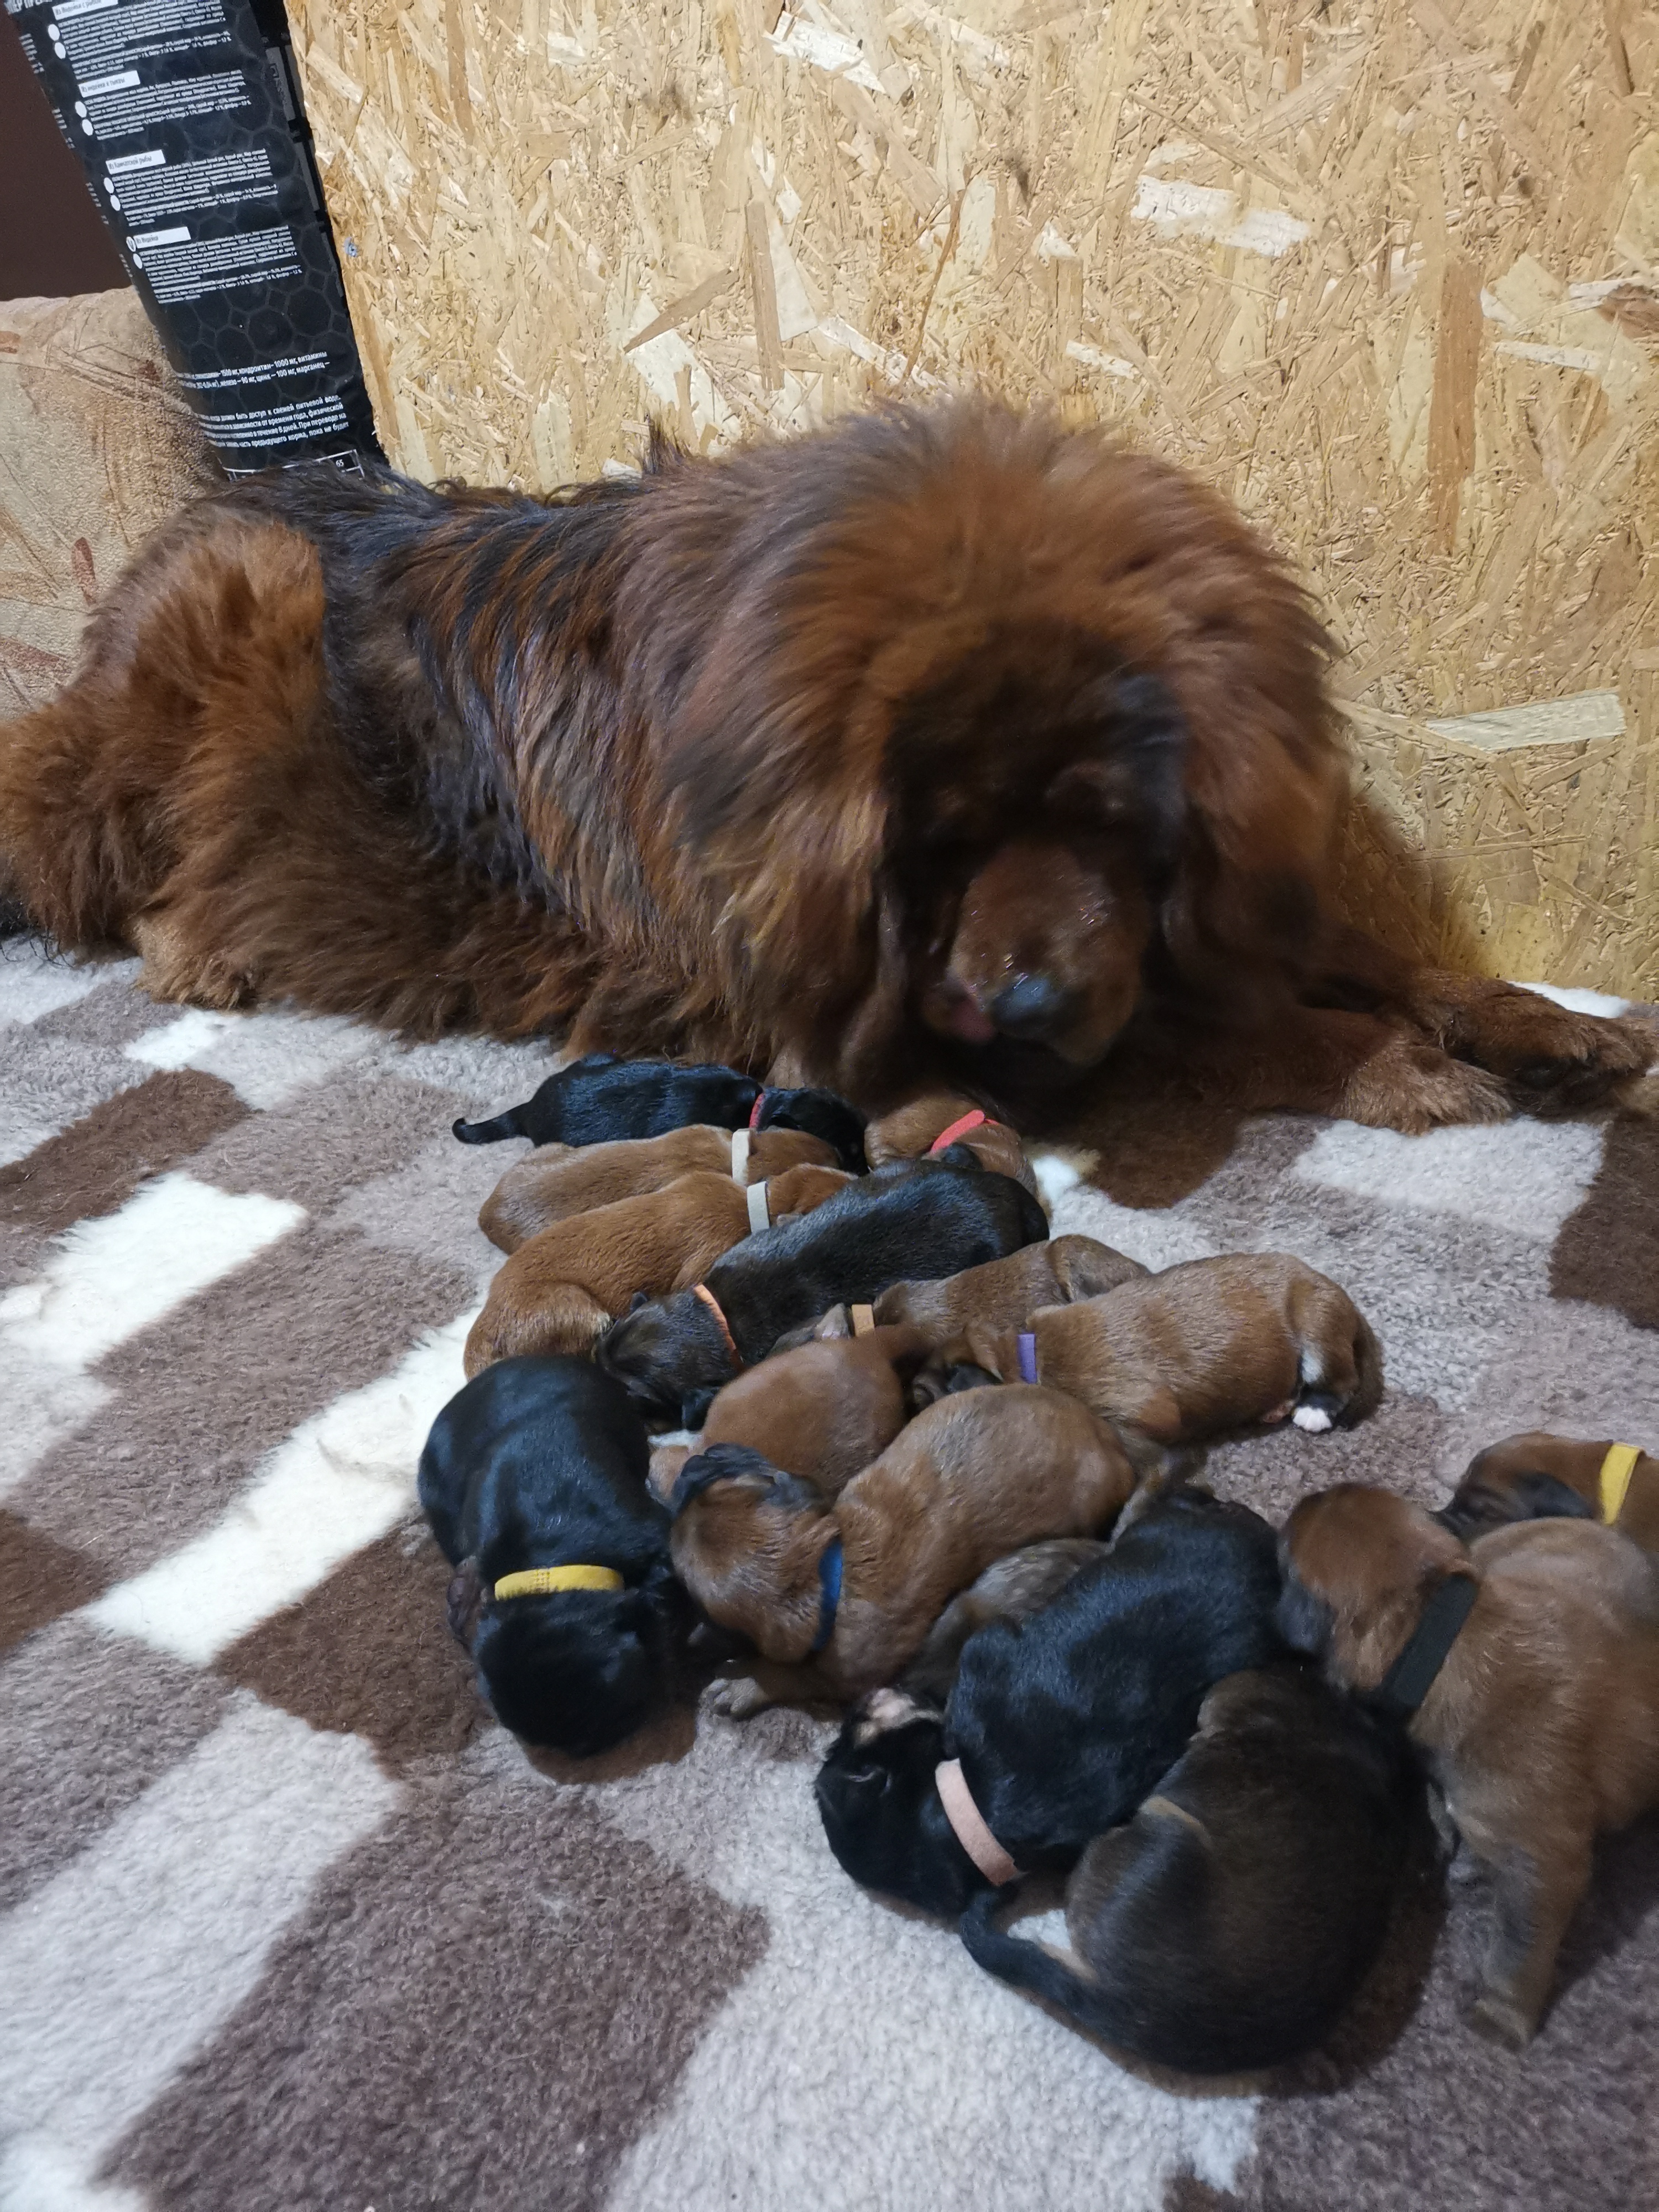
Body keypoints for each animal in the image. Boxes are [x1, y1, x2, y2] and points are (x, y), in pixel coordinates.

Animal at [6, 402, 1651, 1130]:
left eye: (1111, 824)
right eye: (933, 845)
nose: (1021, 1007)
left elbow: (1352, 949)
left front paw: (1528, 1019)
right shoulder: (874, 1016)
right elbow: (1228, 1022)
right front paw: (1395, 1064)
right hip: (241, 595)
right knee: (142, 878)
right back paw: (209, 951)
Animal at [667, 1384, 1142, 1707]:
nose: (695, 1463)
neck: (829, 1571)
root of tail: (1116, 1446)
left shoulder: (844, 1678)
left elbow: (790, 1677)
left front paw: (745, 1684)